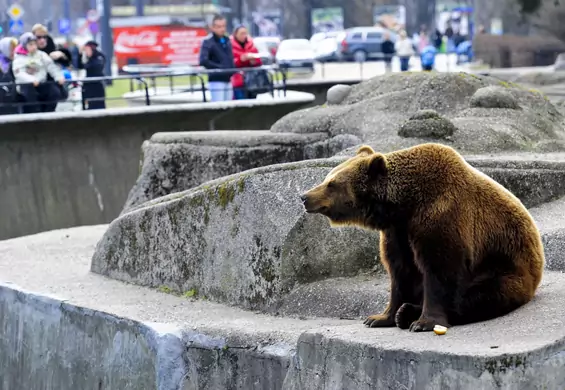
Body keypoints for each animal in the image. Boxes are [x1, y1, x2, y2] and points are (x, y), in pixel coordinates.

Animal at [302, 143, 544, 332]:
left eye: (332, 183)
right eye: (327, 178)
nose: (305, 196)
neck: (405, 205)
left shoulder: (441, 217)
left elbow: (439, 270)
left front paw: (424, 322)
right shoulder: (398, 232)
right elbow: (401, 272)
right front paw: (380, 317)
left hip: (504, 269)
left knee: (480, 296)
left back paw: (410, 313)